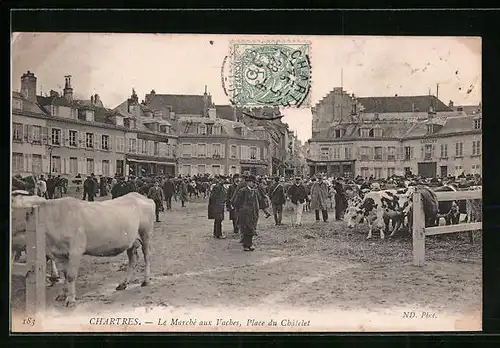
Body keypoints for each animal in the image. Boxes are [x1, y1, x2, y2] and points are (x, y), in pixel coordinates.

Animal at [14, 193, 154, 308]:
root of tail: (141, 196)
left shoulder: (76, 250)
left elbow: (71, 276)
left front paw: (70, 299)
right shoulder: (63, 254)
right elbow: (66, 274)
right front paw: (63, 294)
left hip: (145, 234)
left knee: (147, 256)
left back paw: (146, 280)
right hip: (131, 241)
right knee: (132, 258)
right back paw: (123, 283)